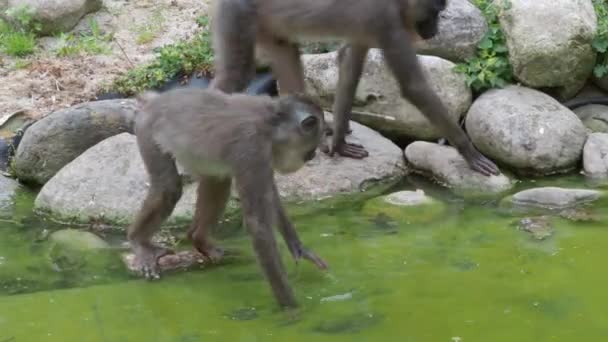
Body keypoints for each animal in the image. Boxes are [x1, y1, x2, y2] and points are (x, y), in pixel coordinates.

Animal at [127, 87, 328, 308]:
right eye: (311, 148)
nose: (313, 155)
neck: (270, 122)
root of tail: (154, 102)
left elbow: (270, 196)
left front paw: (298, 248)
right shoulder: (252, 147)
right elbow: (258, 225)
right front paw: (291, 307)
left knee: (219, 178)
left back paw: (199, 239)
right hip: (146, 129)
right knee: (168, 187)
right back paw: (138, 241)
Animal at [208, 0, 498, 176]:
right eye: (435, 12)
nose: (435, 30)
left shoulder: (370, 25)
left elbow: (348, 66)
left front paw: (339, 144)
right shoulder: (385, 21)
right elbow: (414, 87)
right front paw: (469, 152)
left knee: (287, 53)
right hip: (240, 13)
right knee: (237, 73)